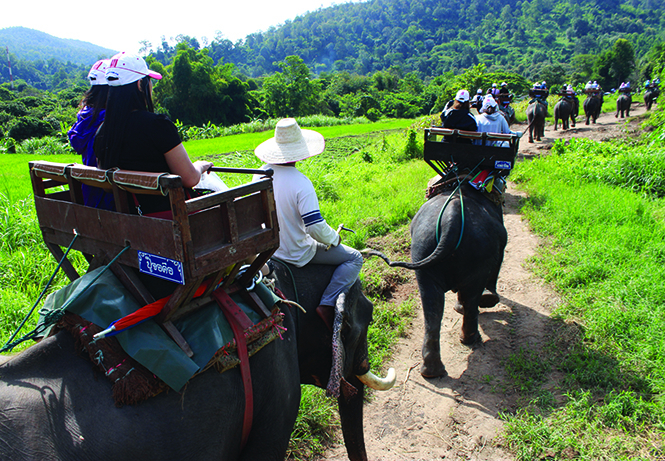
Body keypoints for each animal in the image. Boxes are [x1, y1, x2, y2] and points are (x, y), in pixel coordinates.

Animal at [366, 181, 506, 380]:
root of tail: (452, 220)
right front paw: (487, 300)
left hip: (423, 248)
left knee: (432, 306)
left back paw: (431, 371)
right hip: (477, 252)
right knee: (471, 297)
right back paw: (471, 339)